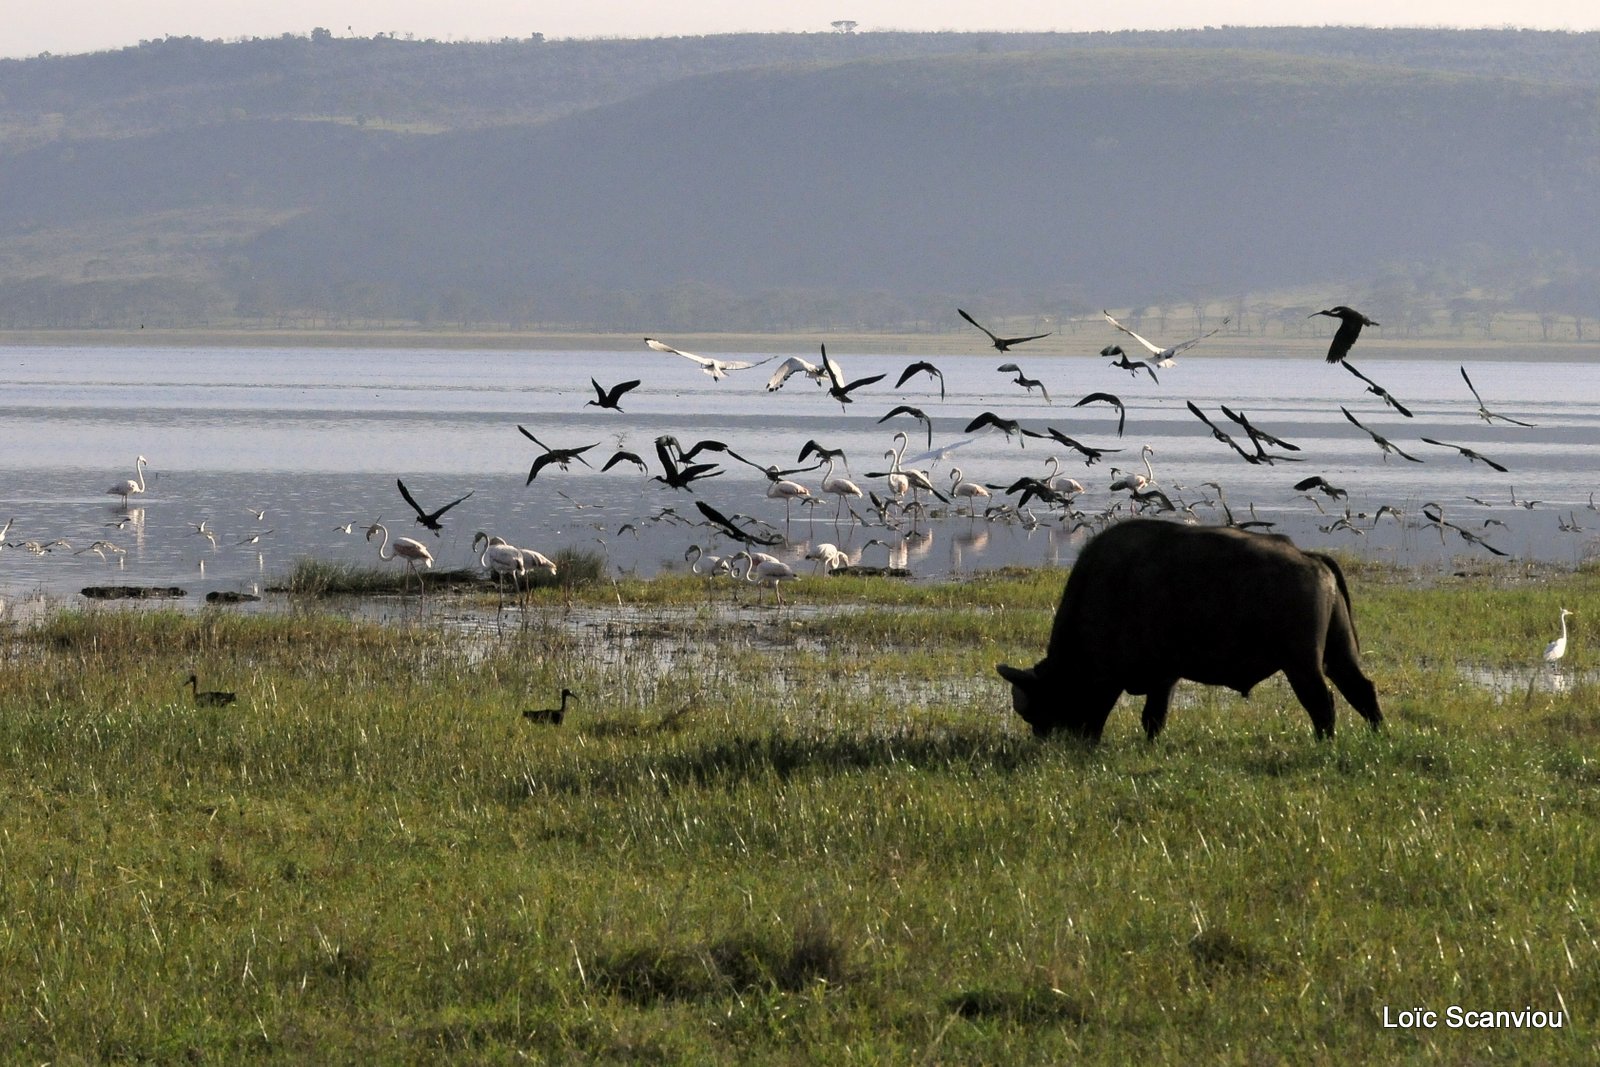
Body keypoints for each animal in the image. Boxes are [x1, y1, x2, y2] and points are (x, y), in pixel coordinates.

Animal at [992, 518, 1382, 742]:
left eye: (1038, 707)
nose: (1044, 742)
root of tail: (1309, 557)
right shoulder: (1164, 678)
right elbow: (1153, 718)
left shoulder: (1125, 678)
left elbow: (1129, 716)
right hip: (1339, 655)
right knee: (1361, 689)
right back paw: (1377, 734)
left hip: (1302, 664)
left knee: (1322, 701)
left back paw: (1326, 742)